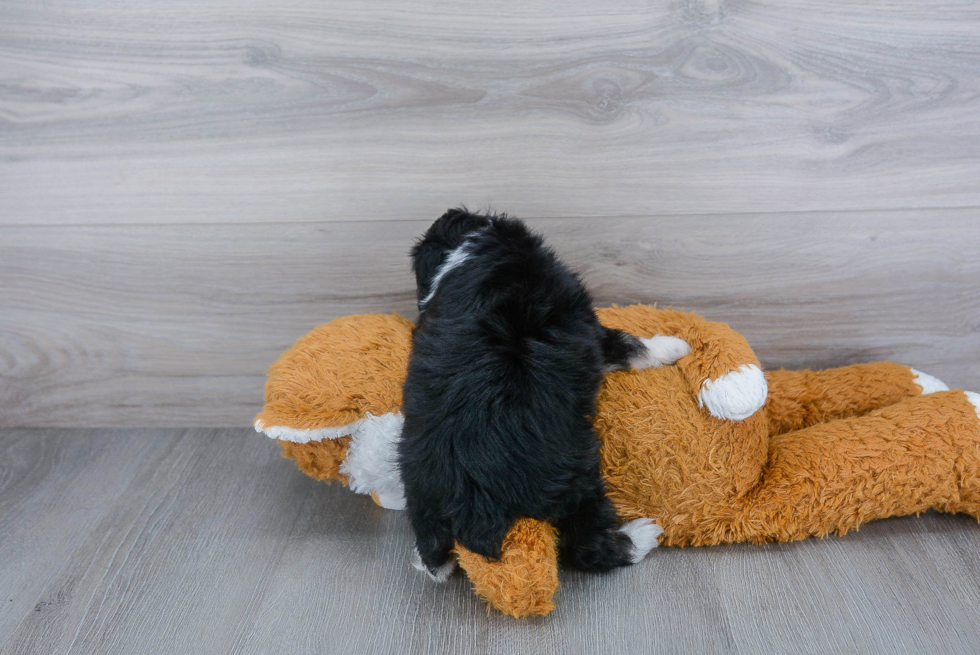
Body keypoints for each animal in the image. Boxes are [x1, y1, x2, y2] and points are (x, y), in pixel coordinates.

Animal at [398, 208, 688, 580]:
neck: (473, 251)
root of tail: (470, 497)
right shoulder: (589, 327)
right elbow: (626, 342)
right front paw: (673, 346)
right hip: (576, 477)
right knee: (589, 546)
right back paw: (643, 535)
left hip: (418, 488)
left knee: (434, 555)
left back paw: (429, 560)